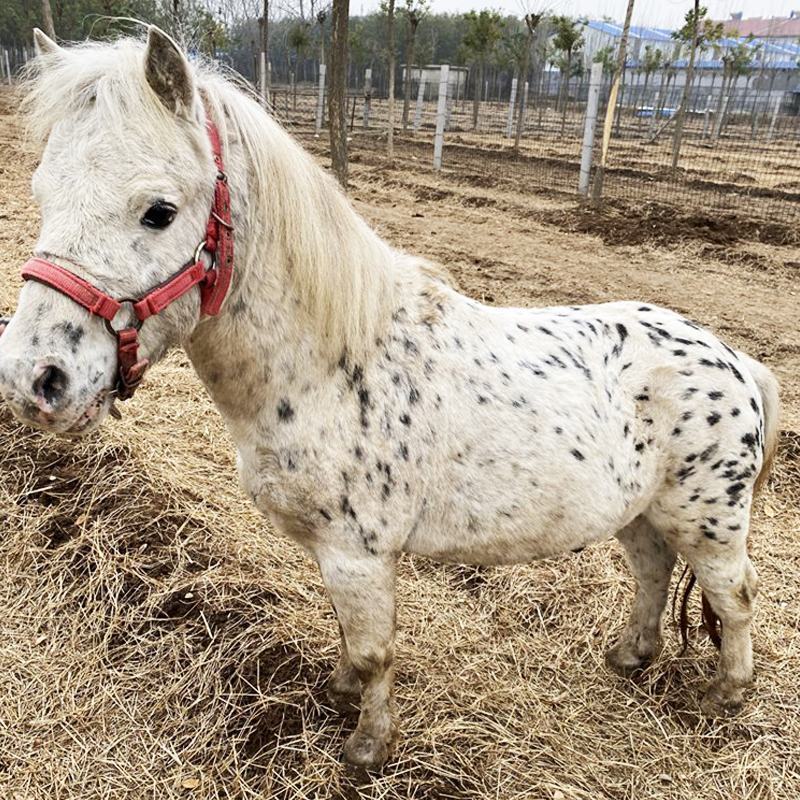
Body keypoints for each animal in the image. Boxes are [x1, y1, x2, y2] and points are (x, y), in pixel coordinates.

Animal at [0, 27, 779, 770]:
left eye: (159, 212)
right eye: (41, 195)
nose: (34, 380)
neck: (331, 366)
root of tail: (739, 363)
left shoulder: (360, 552)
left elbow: (377, 651)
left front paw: (369, 747)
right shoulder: (337, 555)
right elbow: (350, 636)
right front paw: (341, 690)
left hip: (708, 519)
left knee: (734, 595)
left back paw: (727, 695)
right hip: (643, 511)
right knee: (654, 570)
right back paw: (630, 656)